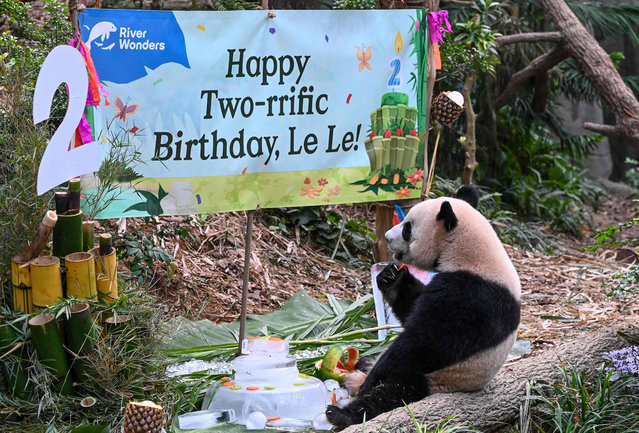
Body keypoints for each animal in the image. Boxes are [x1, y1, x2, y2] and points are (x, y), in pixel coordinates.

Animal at [328, 185, 524, 428]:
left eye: (407, 228)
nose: (387, 237)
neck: (471, 254)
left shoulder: (473, 295)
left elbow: (428, 341)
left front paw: (372, 380)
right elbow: (413, 307)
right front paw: (392, 279)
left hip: (437, 379)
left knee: (391, 394)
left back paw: (344, 410)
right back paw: (363, 364)